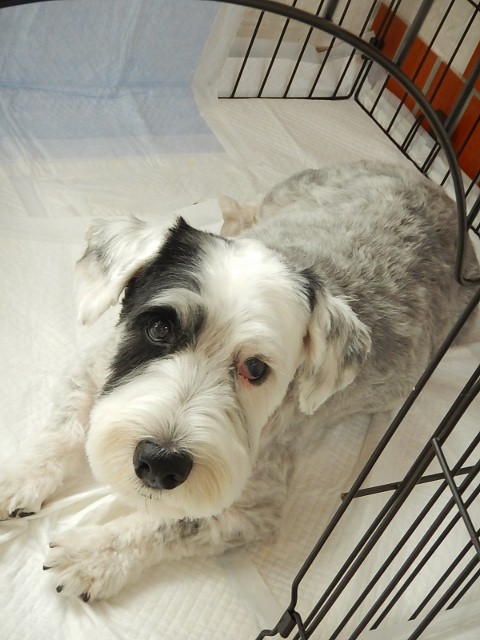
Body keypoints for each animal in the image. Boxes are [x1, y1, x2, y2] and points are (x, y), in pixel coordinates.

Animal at [0, 161, 477, 602]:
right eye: (159, 328)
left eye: (256, 369)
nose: (161, 462)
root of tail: (443, 194)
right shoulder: (93, 369)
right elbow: (61, 431)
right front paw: (20, 478)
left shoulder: (251, 509)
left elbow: (172, 522)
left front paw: (95, 555)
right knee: (244, 207)